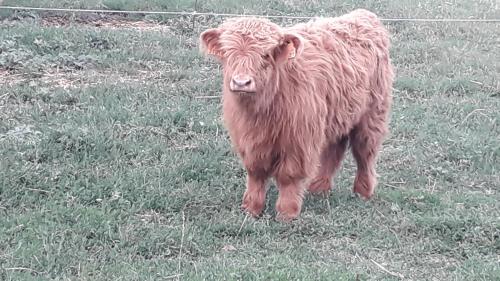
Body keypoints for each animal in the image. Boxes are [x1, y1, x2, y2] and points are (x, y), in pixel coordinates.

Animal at [199, 8, 394, 220]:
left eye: (265, 55)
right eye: (228, 54)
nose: (241, 82)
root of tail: (363, 15)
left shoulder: (298, 139)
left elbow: (289, 176)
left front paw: (287, 213)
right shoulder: (247, 138)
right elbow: (255, 173)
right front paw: (251, 208)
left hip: (372, 115)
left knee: (365, 152)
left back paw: (363, 191)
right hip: (337, 114)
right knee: (334, 150)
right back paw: (319, 187)